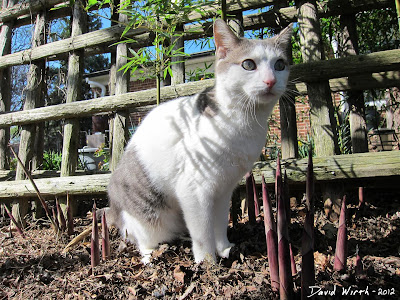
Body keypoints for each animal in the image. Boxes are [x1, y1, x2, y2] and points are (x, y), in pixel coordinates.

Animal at [105, 19, 294, 262]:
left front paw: (224, 248)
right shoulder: (194, 190)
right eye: (248, 65)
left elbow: (220, 222)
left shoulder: (225, 188)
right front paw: (208, 261)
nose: (271, 80)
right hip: (146, 219)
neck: (245, 121)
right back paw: (151, 256)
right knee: (142, 239)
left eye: (280, 64)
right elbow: (203, 231)